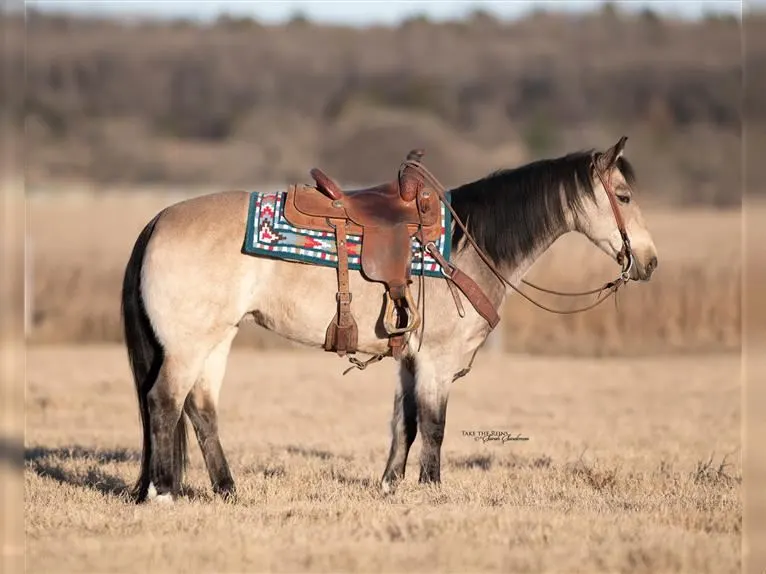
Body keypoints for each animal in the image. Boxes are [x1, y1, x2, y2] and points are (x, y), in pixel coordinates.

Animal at [120, 136, 658, 504]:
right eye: (624, 196)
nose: (650, 262)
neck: (465, 246)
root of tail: (157, 221)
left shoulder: (408, 360)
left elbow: (406, 423)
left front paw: (391, 485)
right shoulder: (437, 362)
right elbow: (435, 427)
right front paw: (432, 488)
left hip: (217, 339)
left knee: (200, 409)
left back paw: (228, 490)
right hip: (188, 345)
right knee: (163, 402)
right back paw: (163, 492)